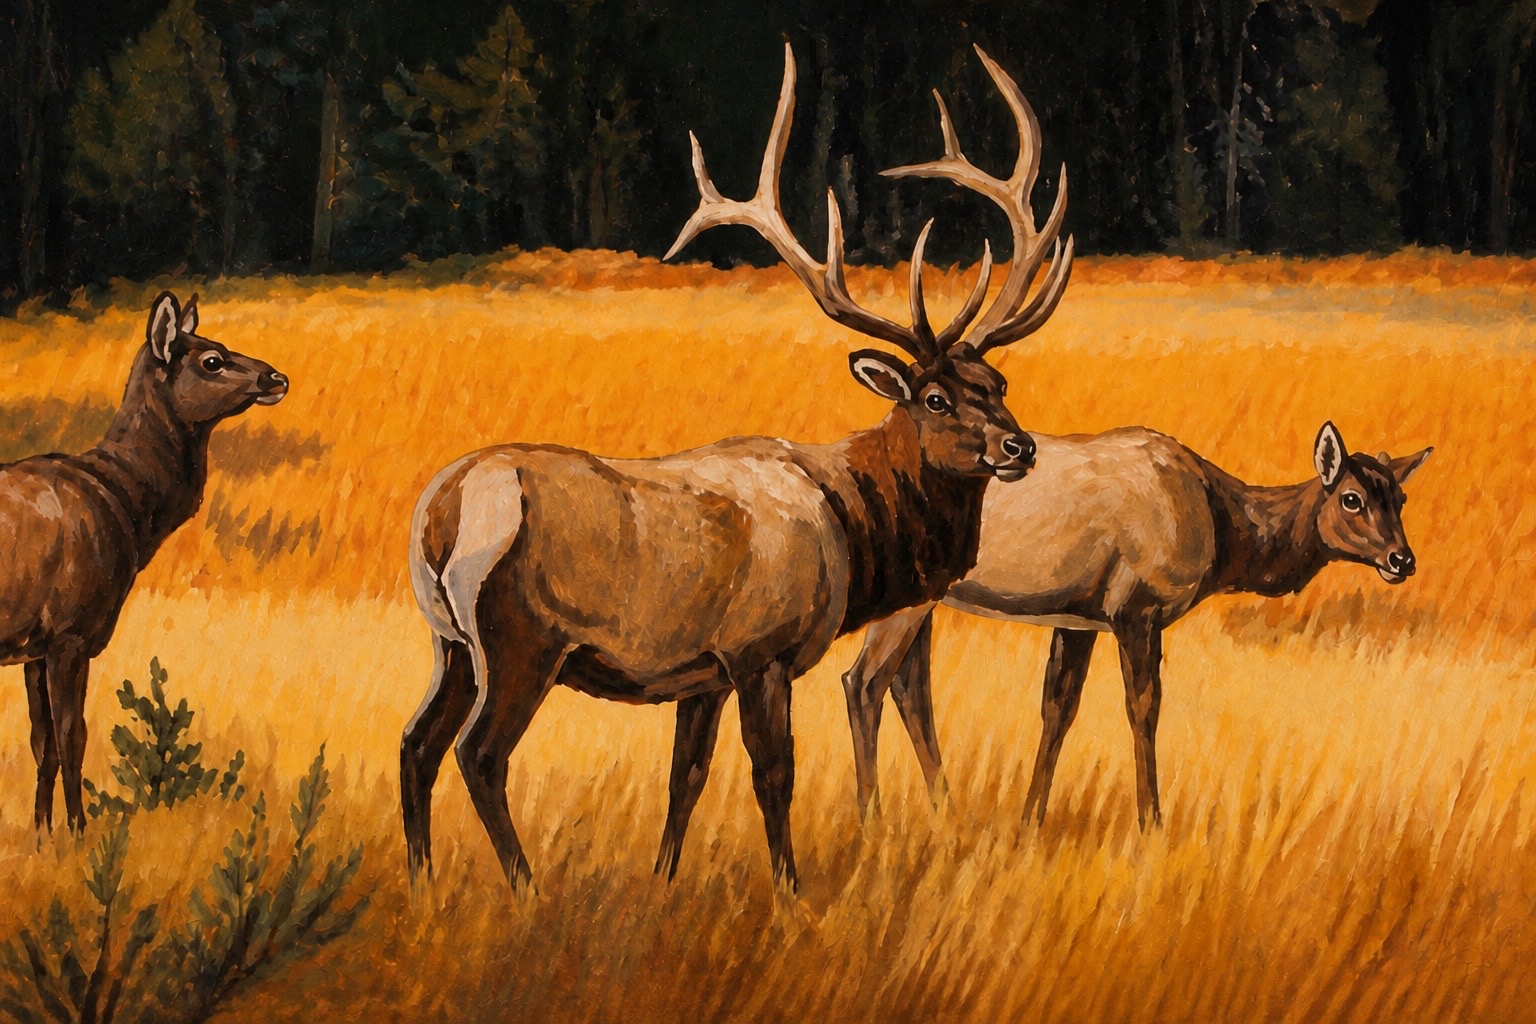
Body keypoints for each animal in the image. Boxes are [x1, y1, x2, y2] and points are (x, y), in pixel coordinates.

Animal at [0, 292, 288, 834]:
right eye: (212, 360)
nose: (277, 377)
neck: (128, 506)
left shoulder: (35, 645)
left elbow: (41, 742)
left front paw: (42, 833)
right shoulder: (72, 630)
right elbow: (73, 738)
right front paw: (78, 833)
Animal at [399, 43, 1074, 891]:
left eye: (999, 385)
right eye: (934, 398)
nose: (1020, 447)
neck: (853, 533)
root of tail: (445, 506)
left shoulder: (702, 674)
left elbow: (685, 777)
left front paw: (664, 880)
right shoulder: (762, 649)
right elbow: (773, 773)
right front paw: (791, 888)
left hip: (446, 642)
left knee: (415, 744)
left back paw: (421, 880)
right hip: (520, 638)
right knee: (479, 754)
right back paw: (526, 887)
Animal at [835, 421, 1433, 828]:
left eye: (1401, 496)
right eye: (1351, 499)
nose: (1403, 560)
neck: (1221, 526)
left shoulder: (1078, 617)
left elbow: (1057, 708)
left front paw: (1029, 820)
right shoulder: (1137, 610)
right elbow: (1143, 708)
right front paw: (1152, 822)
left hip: (925, 600)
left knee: (910, 684)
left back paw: (947, 812)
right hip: (907, 599)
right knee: (863, 680)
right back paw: (876, 821)